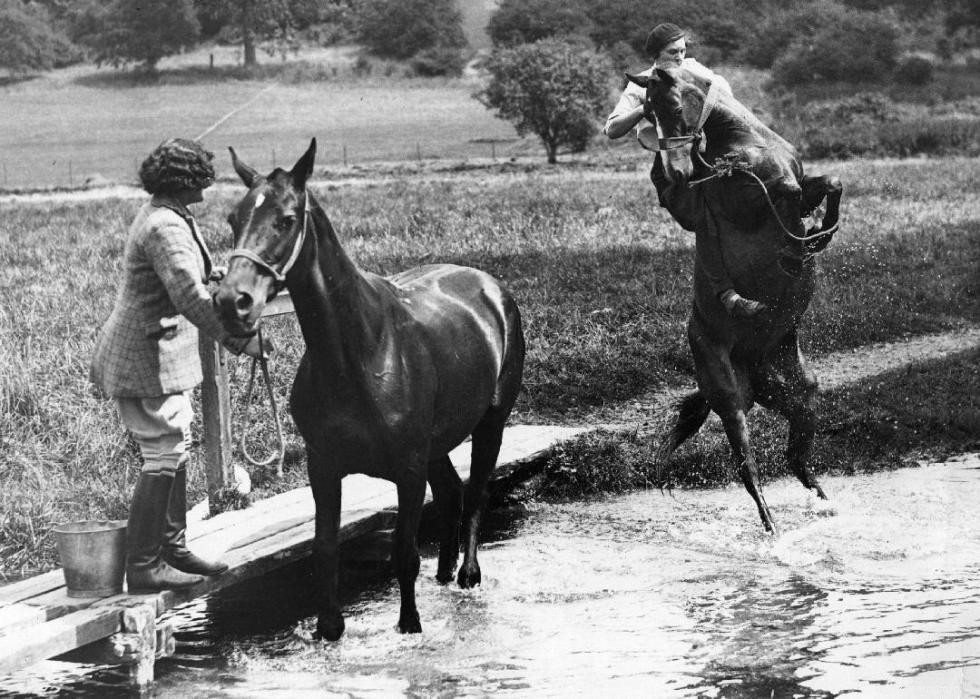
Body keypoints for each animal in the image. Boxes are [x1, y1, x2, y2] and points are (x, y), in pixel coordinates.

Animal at [212, 141, 524, 640]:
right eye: (233, 218)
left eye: (286, 218)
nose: (233, 302)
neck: (362, 352)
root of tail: (490, 287)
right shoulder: (324, 468)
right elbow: (325, 549)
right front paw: (329, 629)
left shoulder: (409, 470)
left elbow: (404, 555)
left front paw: (411, 626)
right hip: (437, 446)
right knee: (452, 494)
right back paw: (444, 574)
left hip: (490, 425)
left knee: (475, 494)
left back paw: (467, 576)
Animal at [628, 67, 844, 536]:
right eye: (648, 113)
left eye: (672, 107)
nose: (676, 172)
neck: (746, 140)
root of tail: (752, 370)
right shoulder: (751, 198)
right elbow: (785, 193)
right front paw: (801, 245)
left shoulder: (799, 184)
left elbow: (827, 183)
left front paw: (819, 233)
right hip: (729, 402)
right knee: (750, 470)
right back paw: (773, 532)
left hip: (800, 396)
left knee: (797, 461)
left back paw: (828, 506)